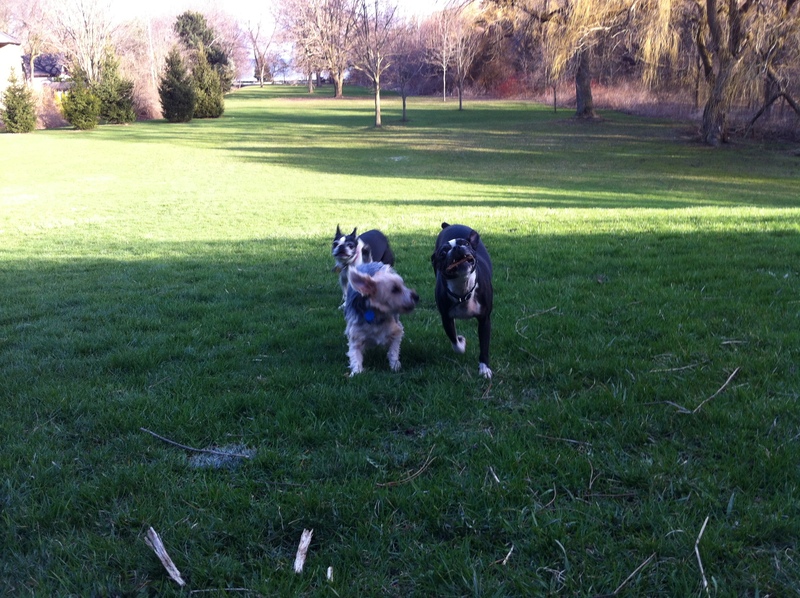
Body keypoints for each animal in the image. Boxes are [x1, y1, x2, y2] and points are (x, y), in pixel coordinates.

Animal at [431, 222, 494, 379]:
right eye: (443, 253)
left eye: (465, 244)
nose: (457, 248)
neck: (463, 289)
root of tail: (450, 225)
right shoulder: (446, 318)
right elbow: (454, 340)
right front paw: (462, 342)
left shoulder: (484, 320)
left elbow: (484, 346)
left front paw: (484, 369)